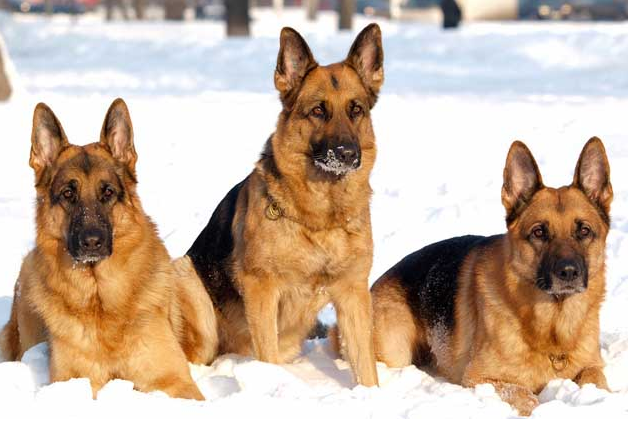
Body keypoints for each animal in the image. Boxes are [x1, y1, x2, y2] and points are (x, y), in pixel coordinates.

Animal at [0, 99, 206, 400]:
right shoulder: (76, 383)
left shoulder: (173, 382)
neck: (100, 298)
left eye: (107, 192)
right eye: (68, 194)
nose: (92, 241)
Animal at [177, 24, 386, 386]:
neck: (321, 218)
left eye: (356, 109)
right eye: (318, 111)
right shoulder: (262, 289)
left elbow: (366, 366)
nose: (348, 154)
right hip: (190, 281)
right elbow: (268, 357)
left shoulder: (353, 294)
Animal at [370, 138, 612, 414]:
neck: (553, 330)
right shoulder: (480, 379)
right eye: (539, 232)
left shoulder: (592, 366)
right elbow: (525, 396)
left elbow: (595, 380)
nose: (568, 272)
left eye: (584, 231)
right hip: (395, 350)